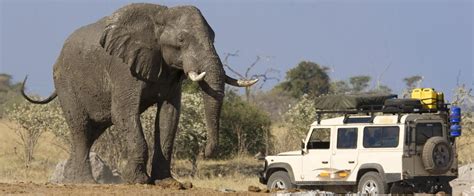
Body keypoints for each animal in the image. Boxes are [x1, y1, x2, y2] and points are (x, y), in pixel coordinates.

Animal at [20, 3, 258, 184]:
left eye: (214, 38)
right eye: (181, 40)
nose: (206, 153)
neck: (160, 16)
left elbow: (169, 116)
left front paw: (166, 182)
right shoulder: (122, 67)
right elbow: (123, 113)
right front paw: (138, 181)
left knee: (91, 132)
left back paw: (69, 179)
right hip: (66, 83)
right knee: (81, 128)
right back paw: (83, 182)